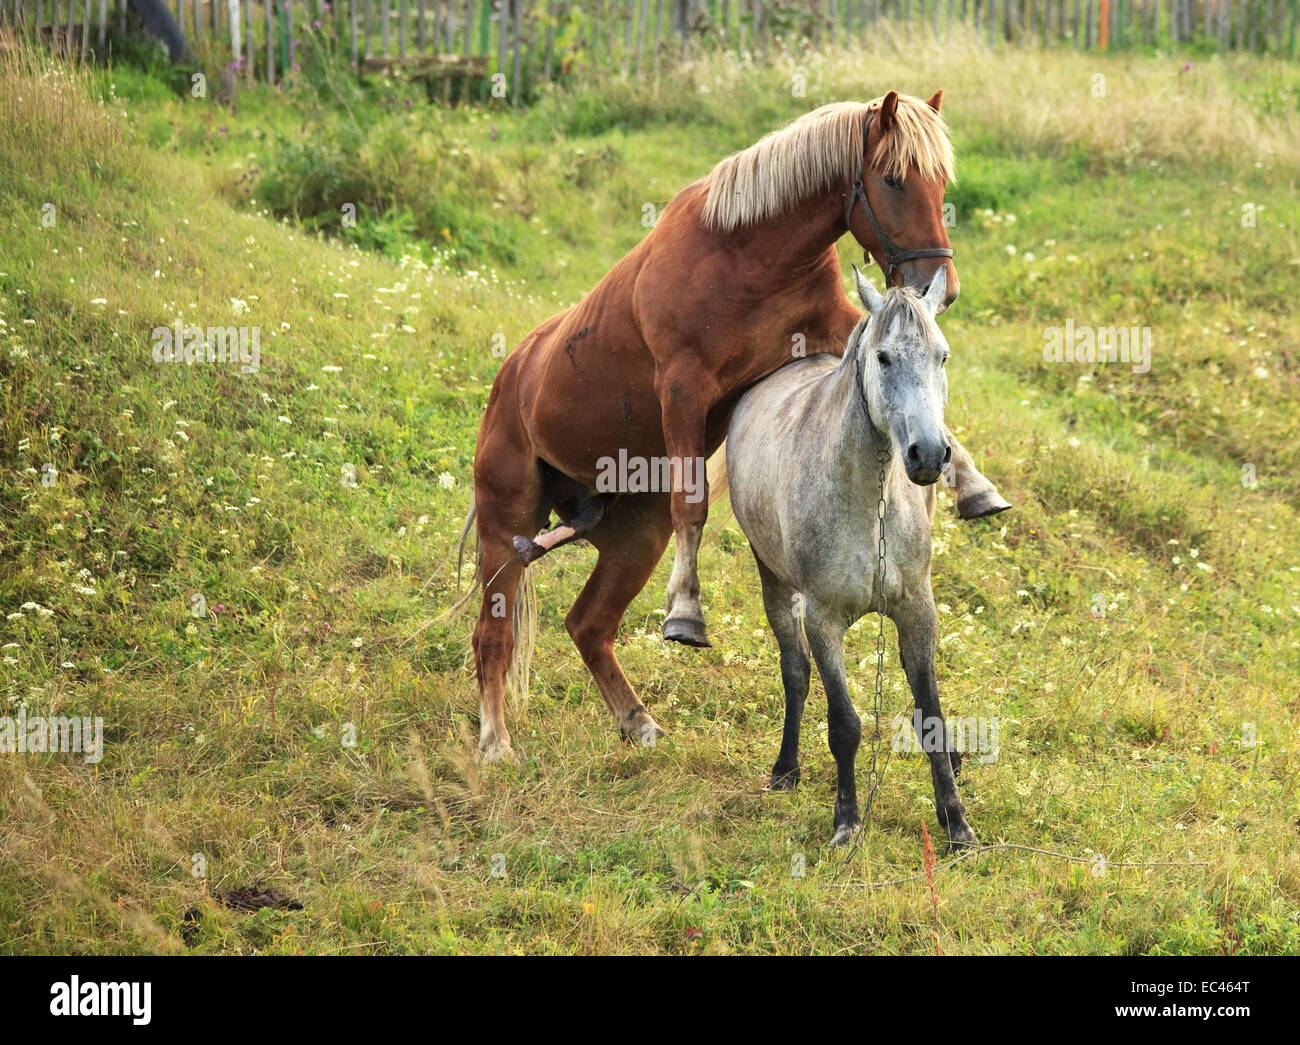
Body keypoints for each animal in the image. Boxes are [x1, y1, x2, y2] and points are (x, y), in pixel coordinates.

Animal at [461, 91, 1009, 762]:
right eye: (894, 179)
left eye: (942, 182)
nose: (943, 287)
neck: (744, 254)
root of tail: (510, 376)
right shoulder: (682, 387)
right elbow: (693, 504)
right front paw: (685, 615)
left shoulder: (829, 326)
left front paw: (975, 485)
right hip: (504, 530)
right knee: (493, 637)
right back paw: (495, 743)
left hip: (634, 540)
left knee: (587, 625)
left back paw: (640, 725)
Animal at [725, 265, 976, 849]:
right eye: (882, 357)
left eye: (942, 356)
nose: (929, 455)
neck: (870, 504)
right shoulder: (823, 621)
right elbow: (845, 725)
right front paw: (846, 822)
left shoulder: (917, 612)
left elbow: (931, 720)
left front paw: (956, 825)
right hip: (774, 582)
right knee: (795, 672)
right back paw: (786, 770)